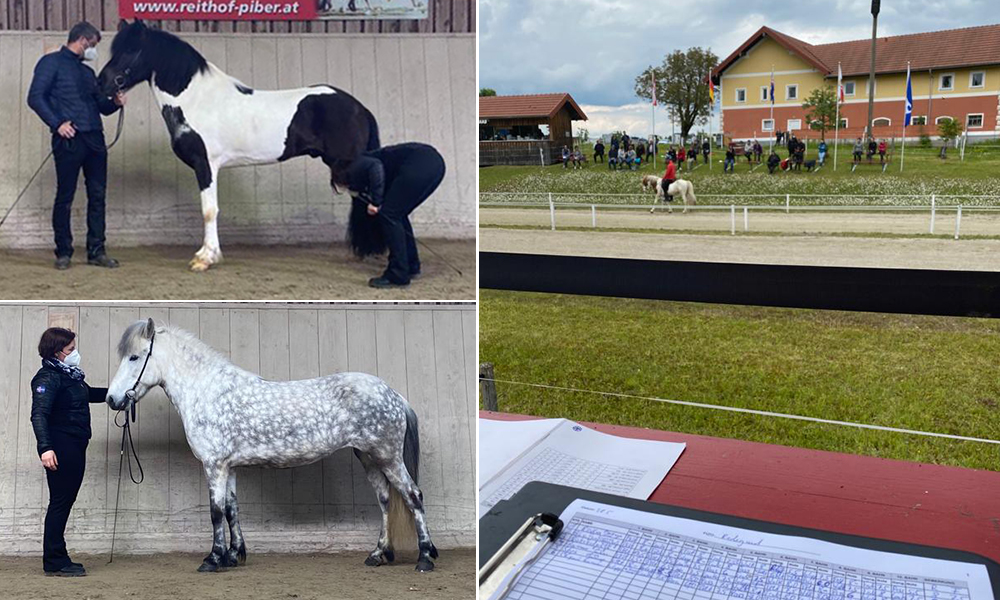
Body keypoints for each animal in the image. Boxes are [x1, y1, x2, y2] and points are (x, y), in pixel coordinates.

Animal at [98, 20, 378, 270]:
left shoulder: (206, 165)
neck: (196, 100)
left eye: (131, 50)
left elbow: (209, 210)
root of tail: (360, 108)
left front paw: (205, 258)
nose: (102, 84)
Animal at [105, 318, 438, 572]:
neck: (208, 391)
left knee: (413, 496)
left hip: (388, 457)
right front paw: (234, 556)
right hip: (369, 457)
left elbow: (215, 512)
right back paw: (378, 555)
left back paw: (425, 558)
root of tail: (393, 394)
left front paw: (212, 559)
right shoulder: (229, 467)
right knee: (385, 500)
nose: (111, 399)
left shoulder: (214, 465)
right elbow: (232, 510)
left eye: (134, 357)